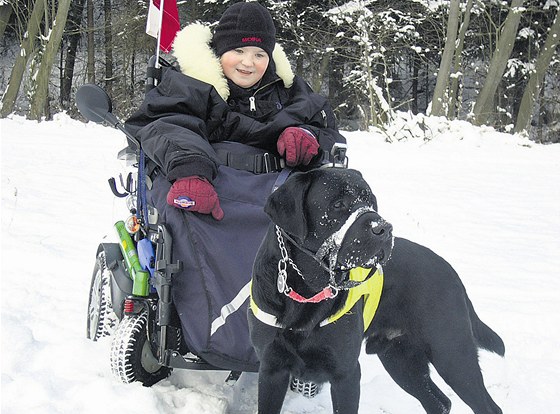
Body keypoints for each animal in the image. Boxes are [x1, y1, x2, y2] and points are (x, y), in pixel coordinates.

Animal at [249, 167, 504, 412]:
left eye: (371, 201)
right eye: (338, 204)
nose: (384, 228)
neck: (309, 290)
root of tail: (451, 271)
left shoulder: (347, 373)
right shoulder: (271, 369)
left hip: (451, 353)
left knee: (489, 407)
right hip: (400, 358)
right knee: (439, 402)